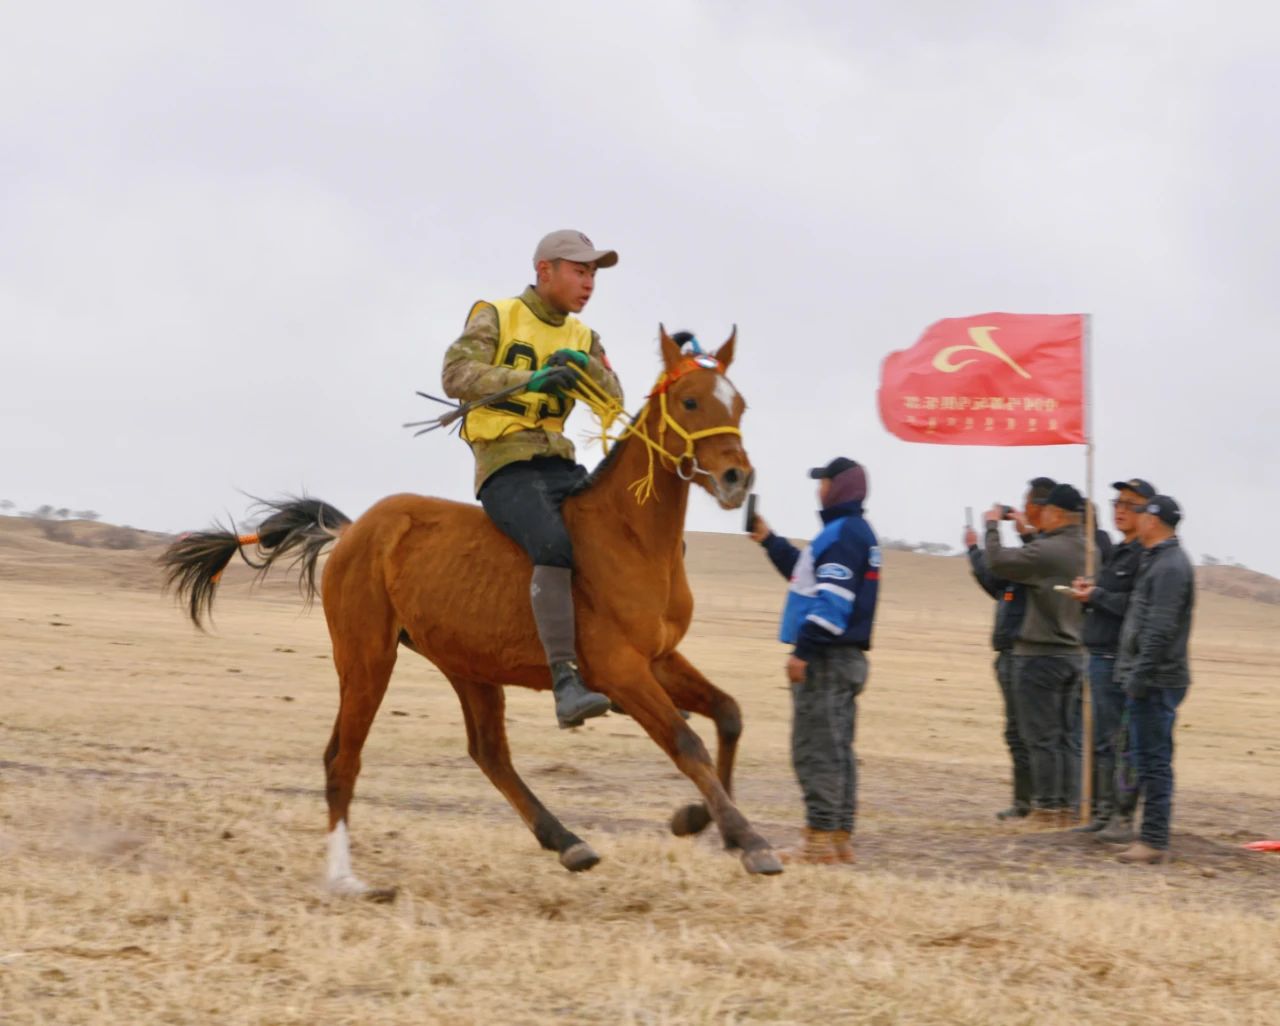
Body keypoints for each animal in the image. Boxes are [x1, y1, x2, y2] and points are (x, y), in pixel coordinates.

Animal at [159, 326, 783, 897]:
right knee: (343, 757)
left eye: (740, 405)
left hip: (468, 667)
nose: (737, 478)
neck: (630, 536)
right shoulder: (620, 671)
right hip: (367, 660)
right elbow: (687, 742)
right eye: (691, 402)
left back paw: (566, 841)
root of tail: (353, 529)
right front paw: (750, 841)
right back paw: (345, 878)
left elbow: (728, 714)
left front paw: (705, 821)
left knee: (489, 753)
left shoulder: (659, 659)